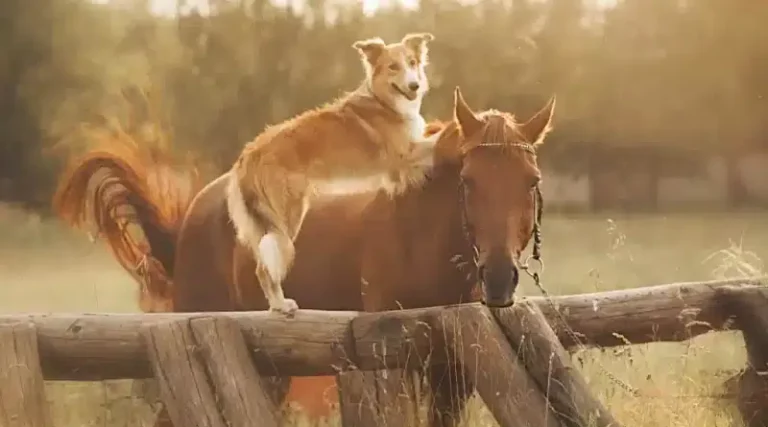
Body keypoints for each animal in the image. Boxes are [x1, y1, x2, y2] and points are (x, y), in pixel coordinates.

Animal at [55, 88, 560, 427]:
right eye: (469, 182)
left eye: (532, 182)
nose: (499, 277)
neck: (421, 234)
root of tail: (196, 212)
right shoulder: (392, 369)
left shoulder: (452, 378)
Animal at [225, 32, 440, 314]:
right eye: (394, 67)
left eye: (413, 63)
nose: (414, 86)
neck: (384, 101)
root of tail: (249, 153)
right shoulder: (403, 158)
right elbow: (436, 141)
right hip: (287, 217)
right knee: (264, 269)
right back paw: (282, 305)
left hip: (265, 225)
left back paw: (275, 305)